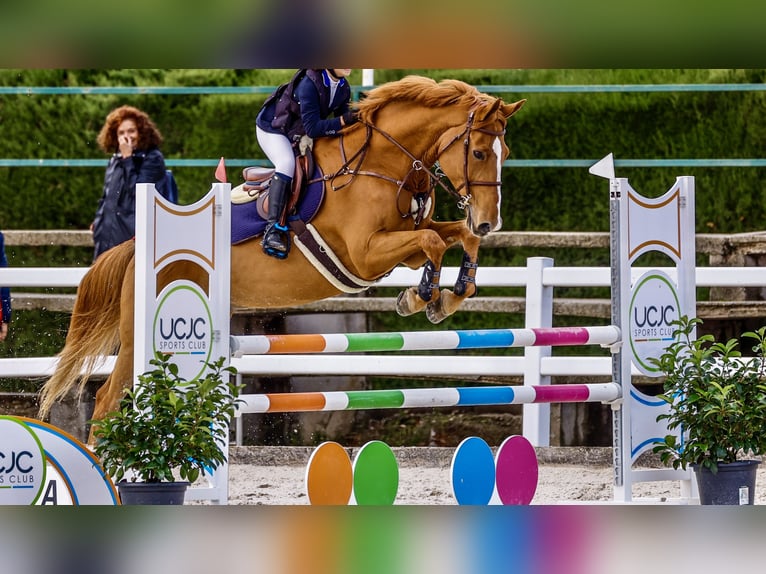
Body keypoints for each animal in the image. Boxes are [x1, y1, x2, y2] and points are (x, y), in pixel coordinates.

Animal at [37, 74, 528, 438]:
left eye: (506, 152)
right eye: (478, 151)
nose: (490, 221)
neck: (385, 163)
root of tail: (137, 247)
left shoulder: (401, 244)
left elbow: (454, 238)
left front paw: (452, 293)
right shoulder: (366, 255)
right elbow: (432, 243)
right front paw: (422, 297)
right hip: (141, 331)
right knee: (107, 401)